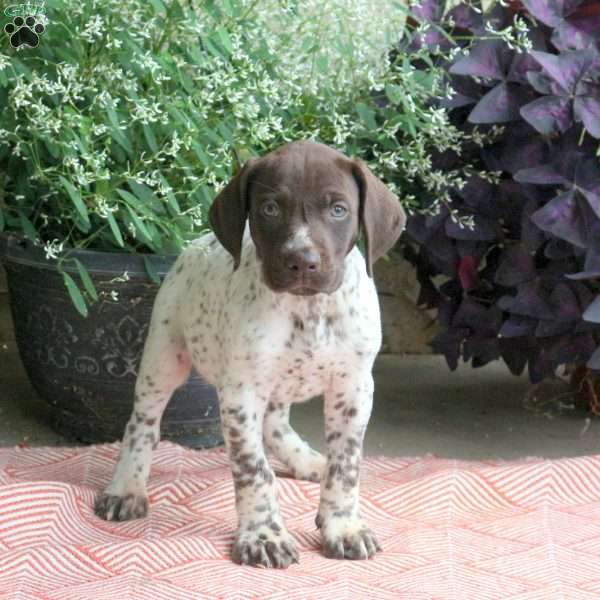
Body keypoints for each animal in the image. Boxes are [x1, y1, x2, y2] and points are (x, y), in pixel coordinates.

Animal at [95, 139, 408, 568]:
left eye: (339, 209)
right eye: (270, 208)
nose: (302, 262)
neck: (308, 311)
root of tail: (198, 243)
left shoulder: (354, 389)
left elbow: (345, 467)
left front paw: (342, 525)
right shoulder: (241, 393)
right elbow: (253, 470)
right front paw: (263, 535)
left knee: (275, 425)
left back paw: (308, 460)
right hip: (164, 358)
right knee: (142, 425)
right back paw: (127, 486)